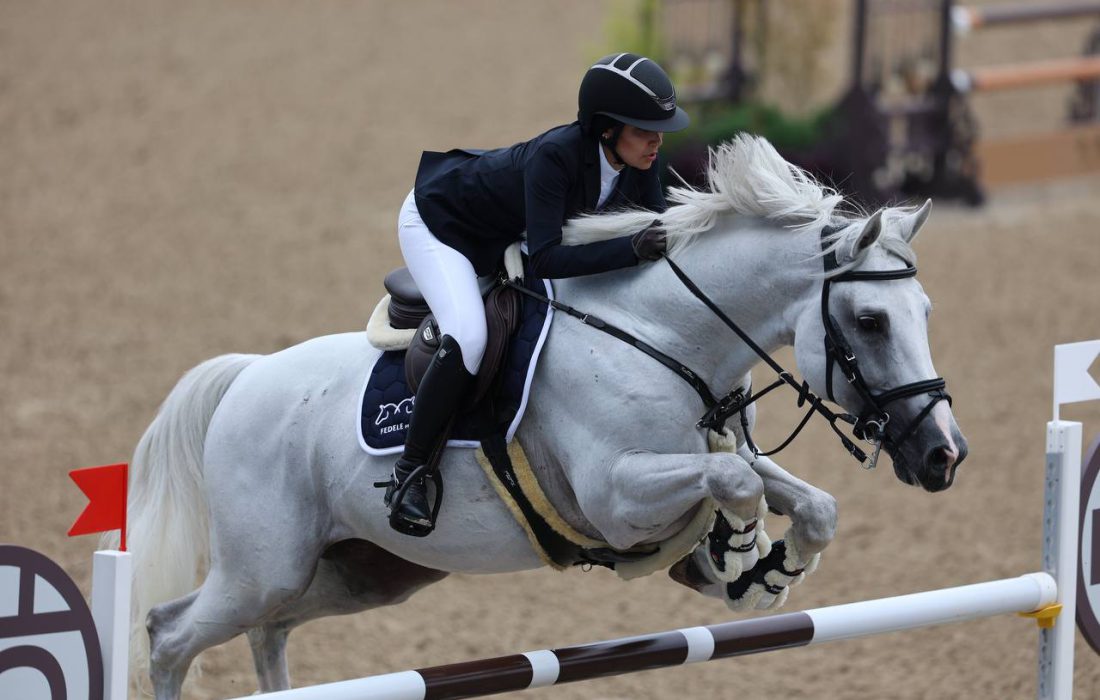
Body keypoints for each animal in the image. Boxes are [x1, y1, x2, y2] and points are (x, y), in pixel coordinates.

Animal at [116, 133, 968, 695]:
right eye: (870, 321)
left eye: (926, 310)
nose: (943, 456)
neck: (664, 335)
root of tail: (247, 378)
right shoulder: (617, 496)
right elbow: (735, 483)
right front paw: (737, 551)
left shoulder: (716, 454)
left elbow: (809, 503)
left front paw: (765, 572)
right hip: (262, 566)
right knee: (168, 634)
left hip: (361, 570)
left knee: (268, 627)